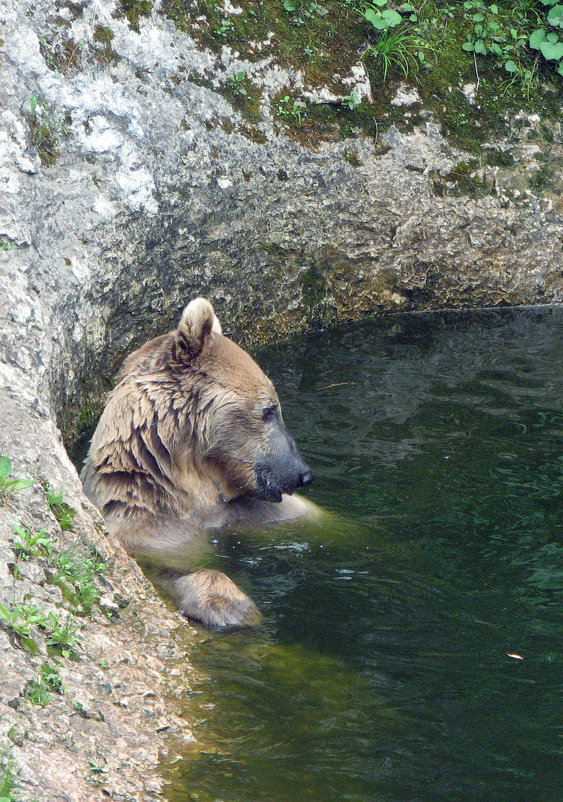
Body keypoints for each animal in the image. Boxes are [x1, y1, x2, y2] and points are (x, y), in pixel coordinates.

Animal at [81, 296, 316, 628]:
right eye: (269, 410)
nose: (302, 473)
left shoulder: (257, 512)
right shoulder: (147, 527)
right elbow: (161, 569)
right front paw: (230, 604)